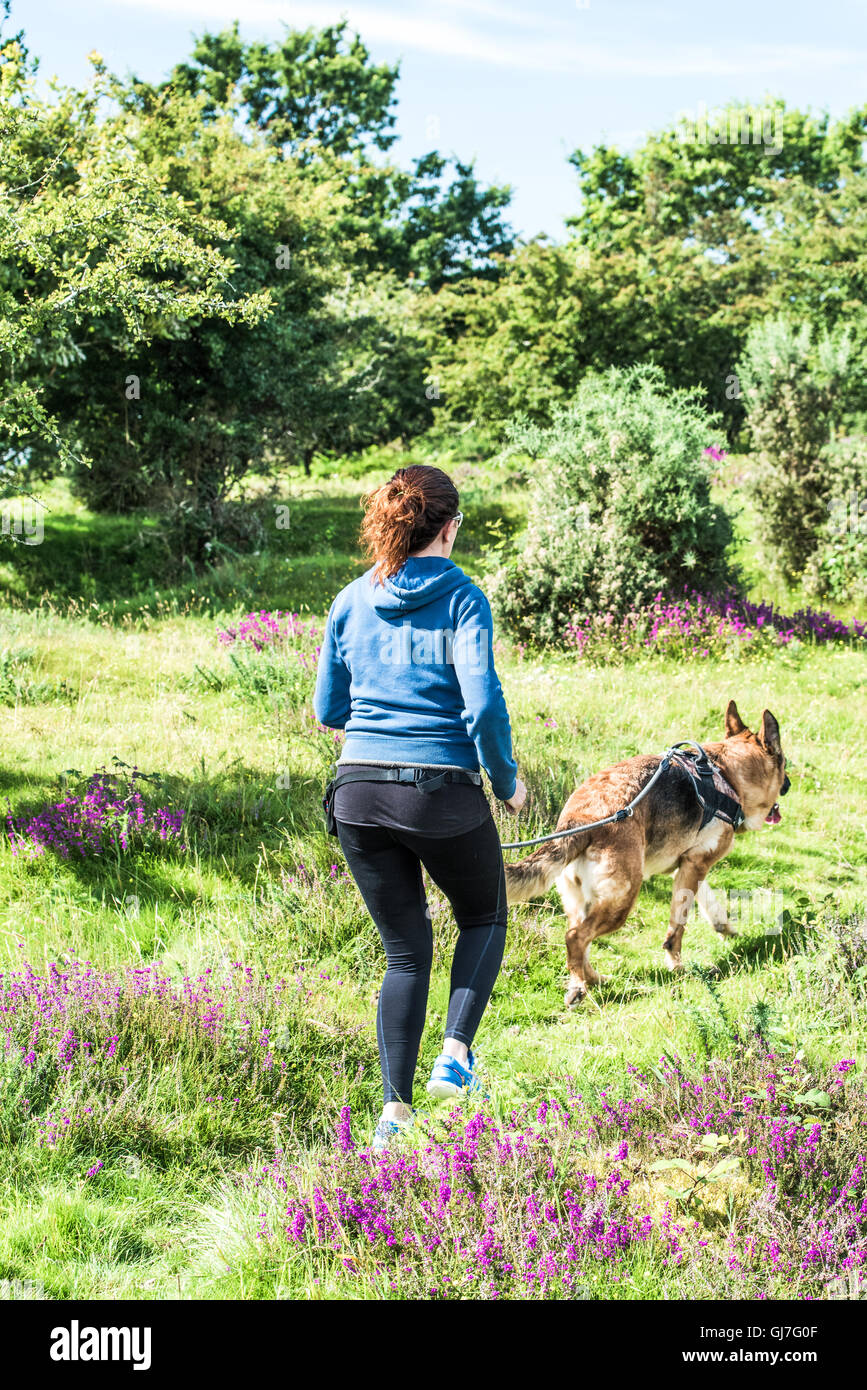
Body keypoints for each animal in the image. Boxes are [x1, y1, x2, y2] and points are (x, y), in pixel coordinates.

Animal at [505, 700, 789, 1006]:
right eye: (785, 766)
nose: (788, 785)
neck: (727, 774)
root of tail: (580, 819)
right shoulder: (695, 866)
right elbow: (677, 927)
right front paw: (677, 967)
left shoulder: (689, 865)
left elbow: (708, 901)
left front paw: (723, 926)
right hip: (622, 901)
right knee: (576, 938)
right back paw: (580, 988)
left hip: (585, 901)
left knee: (581, 942)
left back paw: (593, 979)